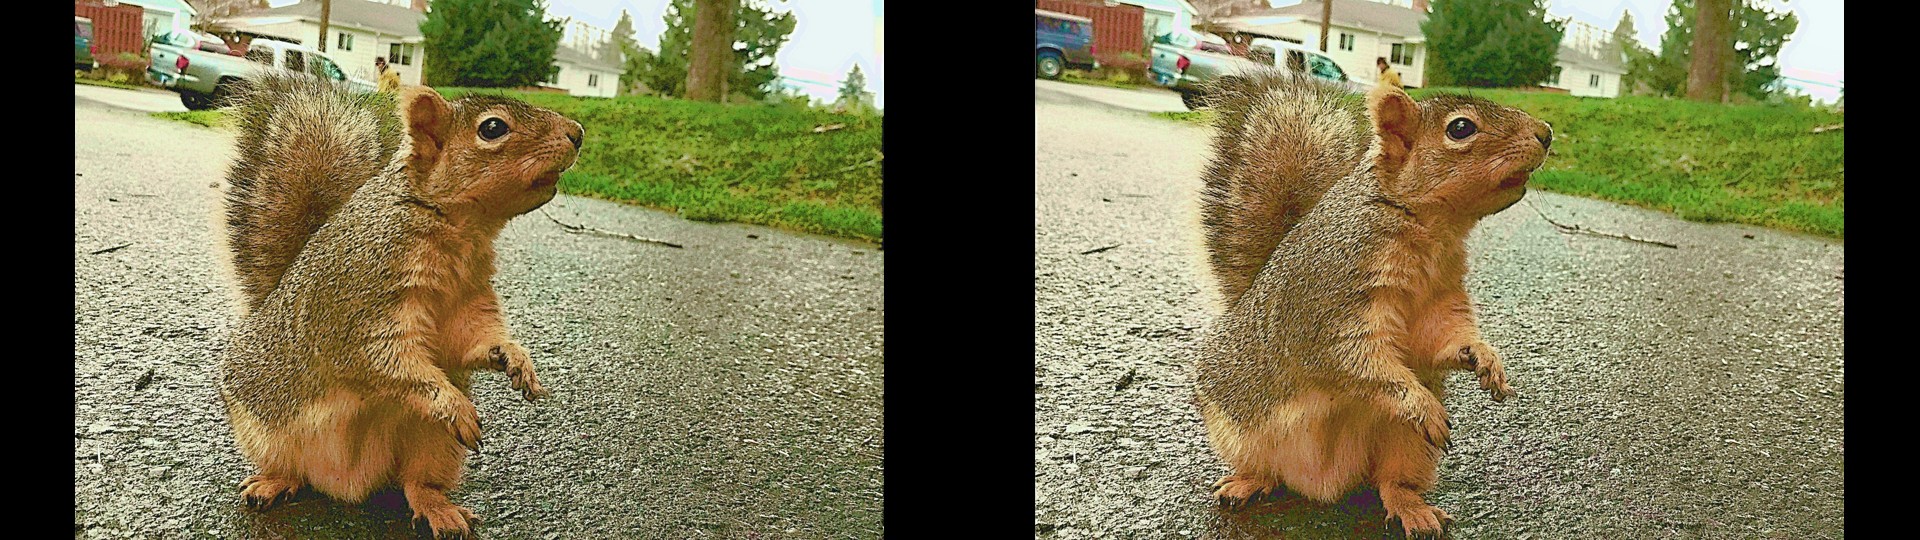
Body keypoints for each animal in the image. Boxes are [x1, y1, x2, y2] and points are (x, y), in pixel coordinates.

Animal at [216, 72, 582, 538]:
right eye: (493, 128)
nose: (578, 133)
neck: (461, 232)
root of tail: (348, 481)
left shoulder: (469, 298)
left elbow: (470, 340)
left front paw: (515, 357)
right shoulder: (361, 305)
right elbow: (383, 361)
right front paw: (451, 403)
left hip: (434, 443)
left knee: (416, 483)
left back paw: (439, 508)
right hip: (261, 425)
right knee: (290, 468)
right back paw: (272, 483)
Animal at [1192, 70, 1549, 538]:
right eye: (1460, 128)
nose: (1547, 133)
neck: (1432, 232)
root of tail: (1324, 482)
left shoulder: (1442, 298)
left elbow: (1440, 339)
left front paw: (1484, 356)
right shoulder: (1330, 305)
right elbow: (1352, 360)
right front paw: (1419, 402)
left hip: (1408, 446)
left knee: (1391, 483)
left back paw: (1413, 508)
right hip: (1235, 425)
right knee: (1266, 468)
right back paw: (1246, 483)